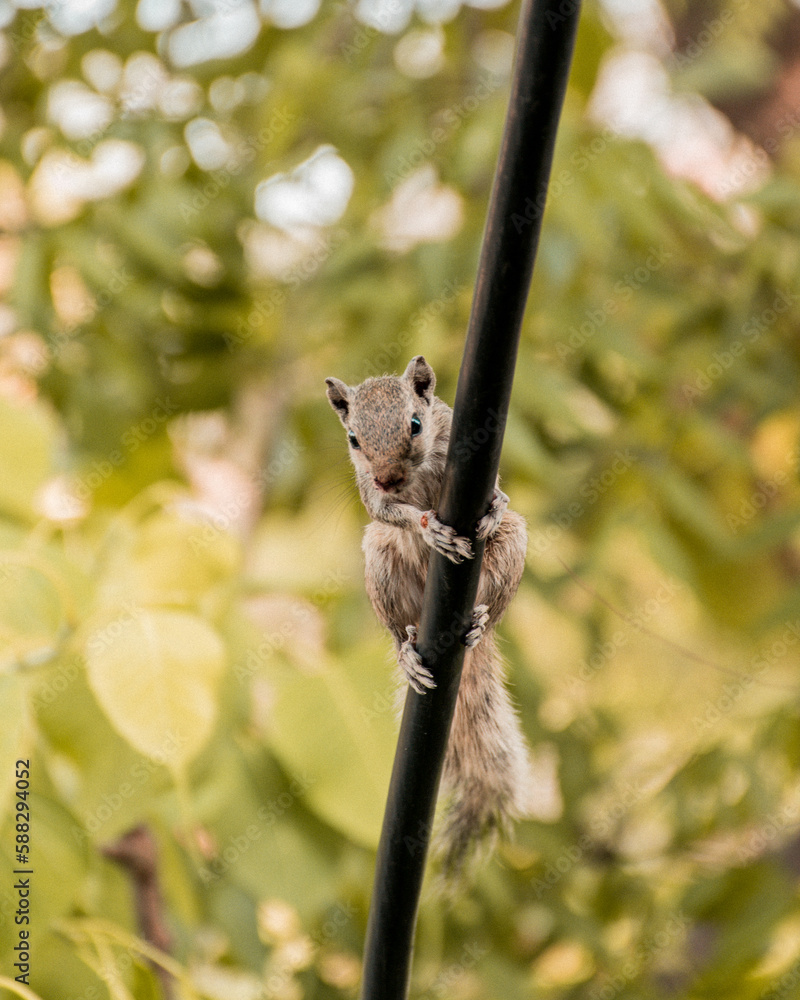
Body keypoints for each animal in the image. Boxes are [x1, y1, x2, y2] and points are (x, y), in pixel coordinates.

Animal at [325, 355, 532, 874]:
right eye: (353, 438)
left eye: (415, 425)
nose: (387, 477)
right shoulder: (372, 496)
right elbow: (386, 510)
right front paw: (426, 526)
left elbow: (497, 492)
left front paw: (494, 505)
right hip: (380, 562)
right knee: (399, 631)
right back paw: (409, 656)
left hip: (511, 548)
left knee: (491, 607)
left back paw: (478, 624)